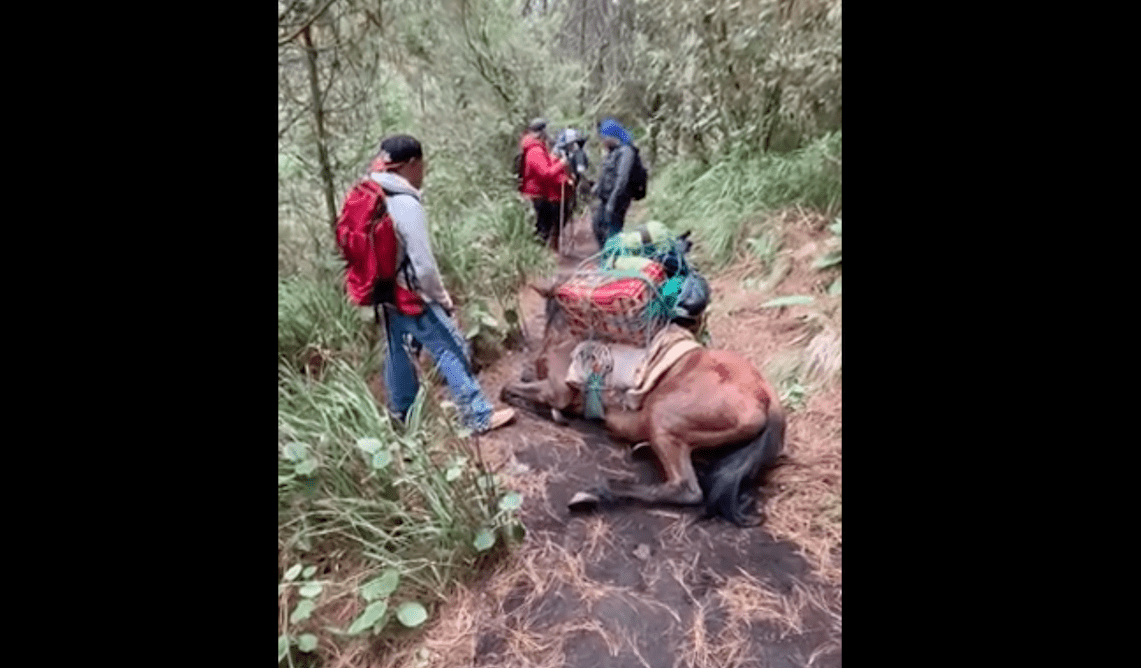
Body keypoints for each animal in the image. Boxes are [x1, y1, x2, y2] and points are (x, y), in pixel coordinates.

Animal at [506, 284, 785, 522]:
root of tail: (766, 394)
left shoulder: (556, 391)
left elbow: (509, 390)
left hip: (662, 418)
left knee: (686, 490)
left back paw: (596, 493)